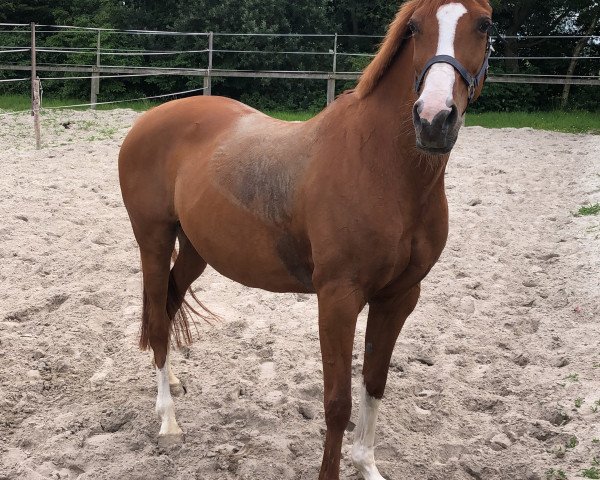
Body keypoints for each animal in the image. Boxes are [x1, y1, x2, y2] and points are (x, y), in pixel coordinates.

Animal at [118, 1, 492, 478]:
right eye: (413, 27)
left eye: (484, 25)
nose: (433, 119)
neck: (382, 167)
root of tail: (148, 120)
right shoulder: (337, 299)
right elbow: (337, 403)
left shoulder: (399, 297)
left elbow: (375, 383)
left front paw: (367, 464)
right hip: (154, 242)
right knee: (156, 319)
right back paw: (168, 419)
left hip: (196, 252)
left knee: (165, 308)